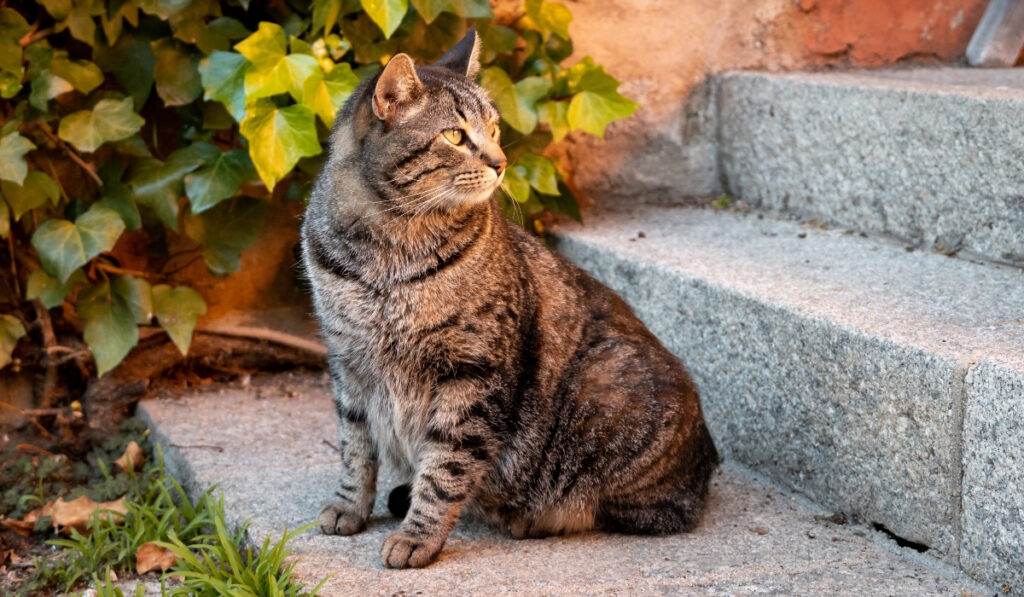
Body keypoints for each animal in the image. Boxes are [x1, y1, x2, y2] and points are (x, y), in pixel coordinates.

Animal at [301, 29, 720, 569]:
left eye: (495, 129)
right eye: (455, 136)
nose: (501, 163)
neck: (389, 251)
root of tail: (708, 456)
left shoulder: (473, 373)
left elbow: (446, 468)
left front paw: (418, 536)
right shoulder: (348, 363)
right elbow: (355, 449)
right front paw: (350, 506)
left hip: (606, 388)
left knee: (642, 510)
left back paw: (528, 516)